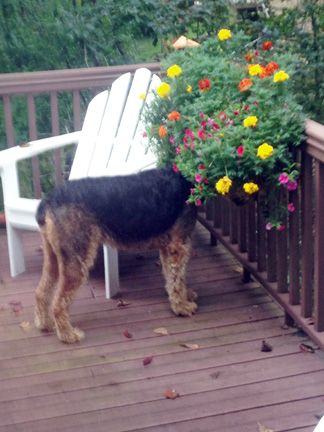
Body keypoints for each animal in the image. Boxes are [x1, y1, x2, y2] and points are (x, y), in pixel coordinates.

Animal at [34, 167, 197, 342]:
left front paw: (185, 296)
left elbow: (175, 277)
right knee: (58, 304)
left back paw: (45, 324)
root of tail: (47, 201)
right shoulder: (177, 246)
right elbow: (177, 279)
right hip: (77, 258)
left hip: (53, 257)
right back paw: (68, 335)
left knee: (41, 292)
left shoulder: (168, 247)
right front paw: (182, 307)